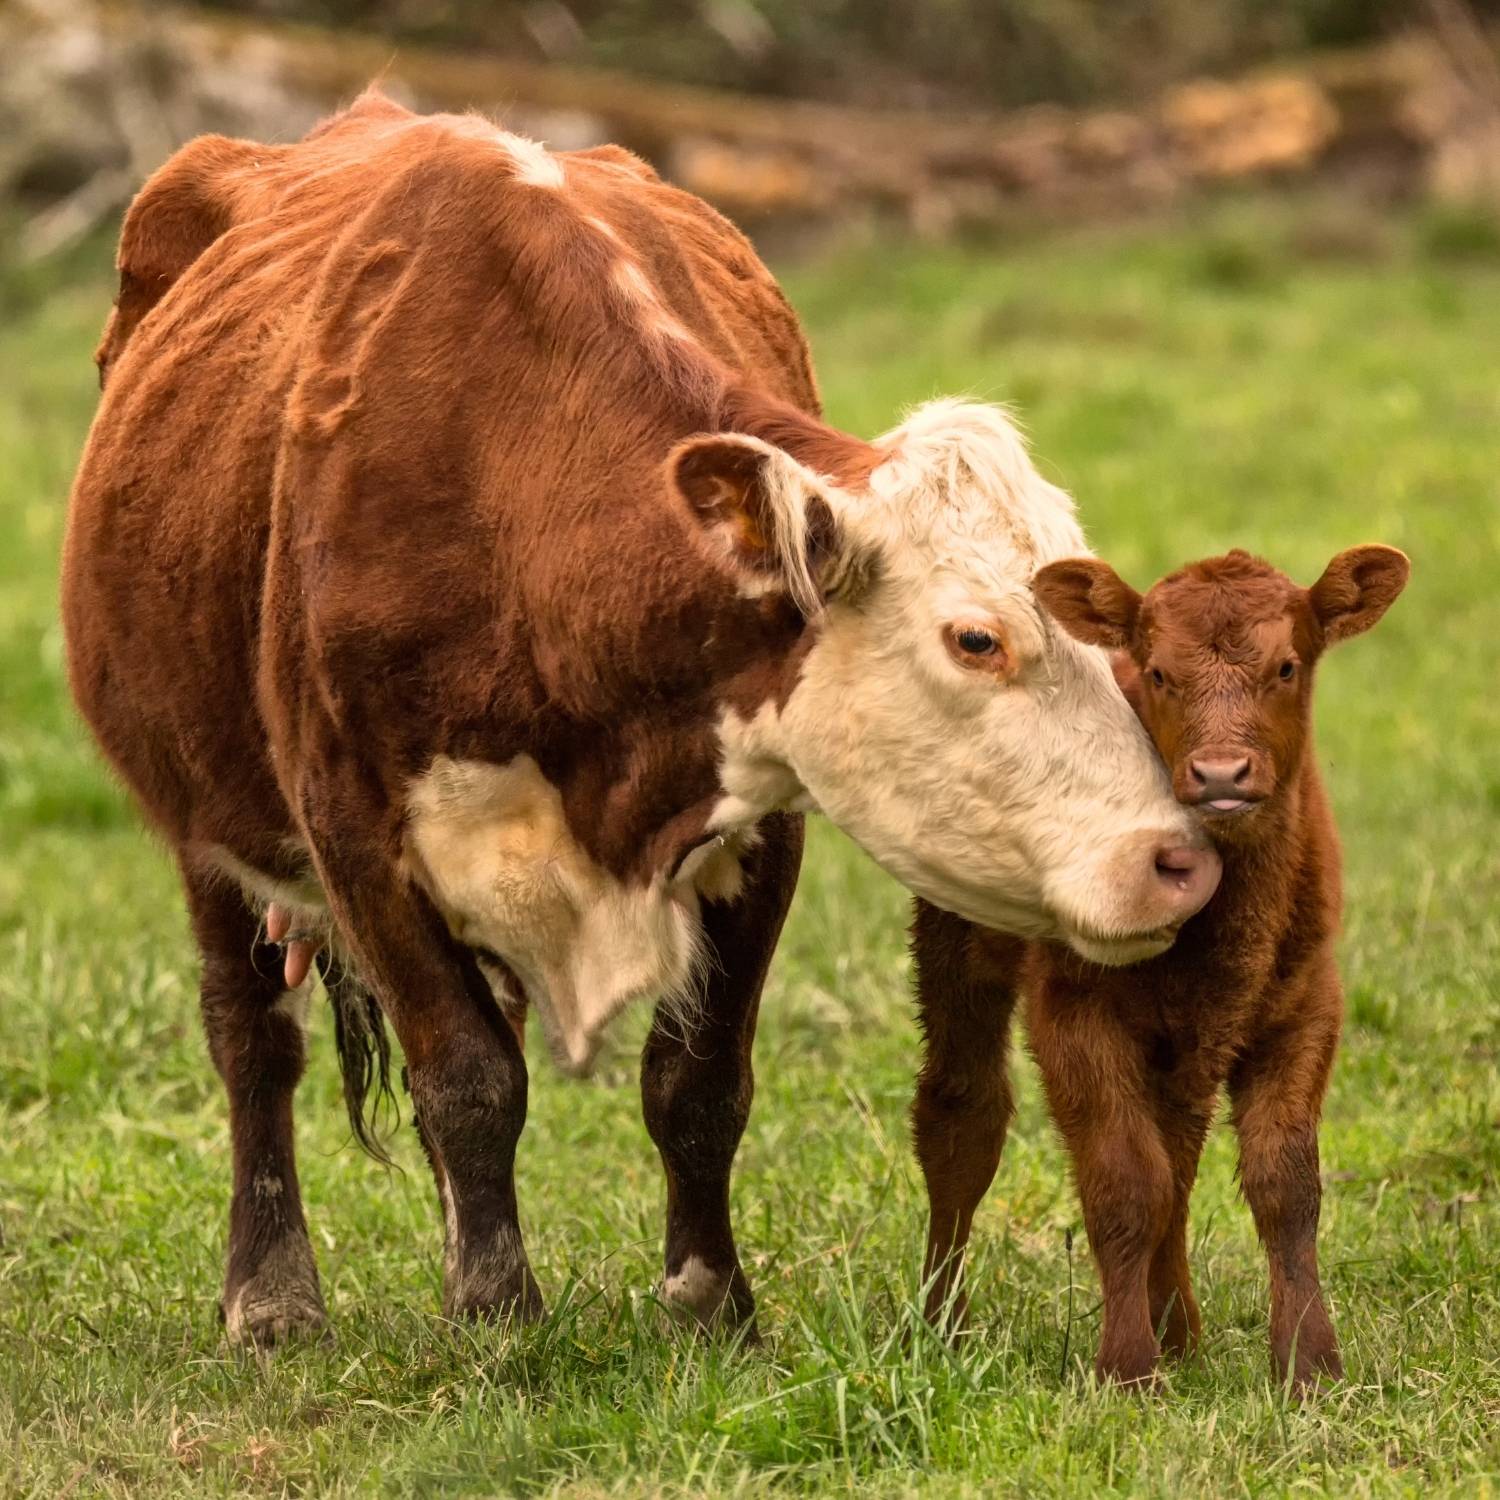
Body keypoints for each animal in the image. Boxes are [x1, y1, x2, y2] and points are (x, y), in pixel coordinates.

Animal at [62, 92, 1219, 1346]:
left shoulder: (759, 818)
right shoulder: (354, 832)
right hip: (206, 825)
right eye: (977, 638)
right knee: (253, 1039)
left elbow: (695, 1079)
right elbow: (467, 1077)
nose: (1178, 861)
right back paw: (272, 1294)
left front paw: (709, 1299)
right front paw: (498, 1314)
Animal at [910, 545, 1408, 1391]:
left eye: (1286, 666)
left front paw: (1308, 1363)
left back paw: (1180, 1330)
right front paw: (1127, 1367)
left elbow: (1283, 1184)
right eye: (1159, 673)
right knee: (962, 1118)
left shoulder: (1306, 1003)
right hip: (956, 942)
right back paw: (943, 1324)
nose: (1221, 773)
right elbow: (1123, 1181)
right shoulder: (1073, 1009)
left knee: (1177, 1150)